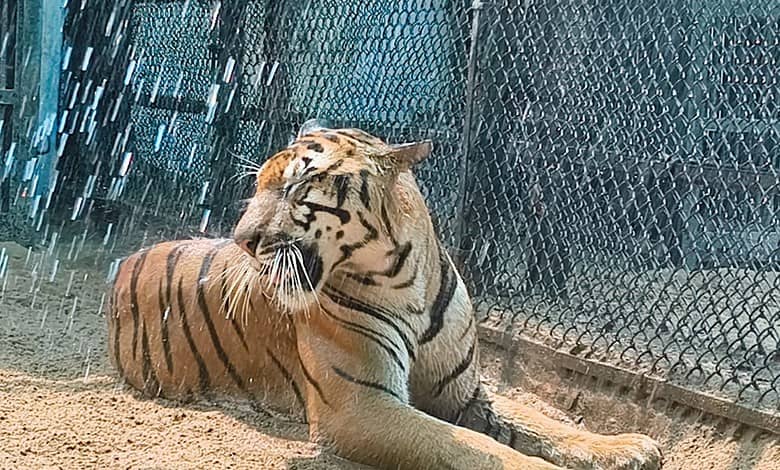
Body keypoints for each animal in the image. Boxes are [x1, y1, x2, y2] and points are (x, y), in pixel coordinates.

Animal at [108, 121, 662, 470]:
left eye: (295, 189)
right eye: (260, 187)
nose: (244, 239)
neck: (405, 281)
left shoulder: (463, 392)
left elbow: (541, 421)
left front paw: (626, 446)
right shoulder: (360, 407)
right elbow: (474, 447)